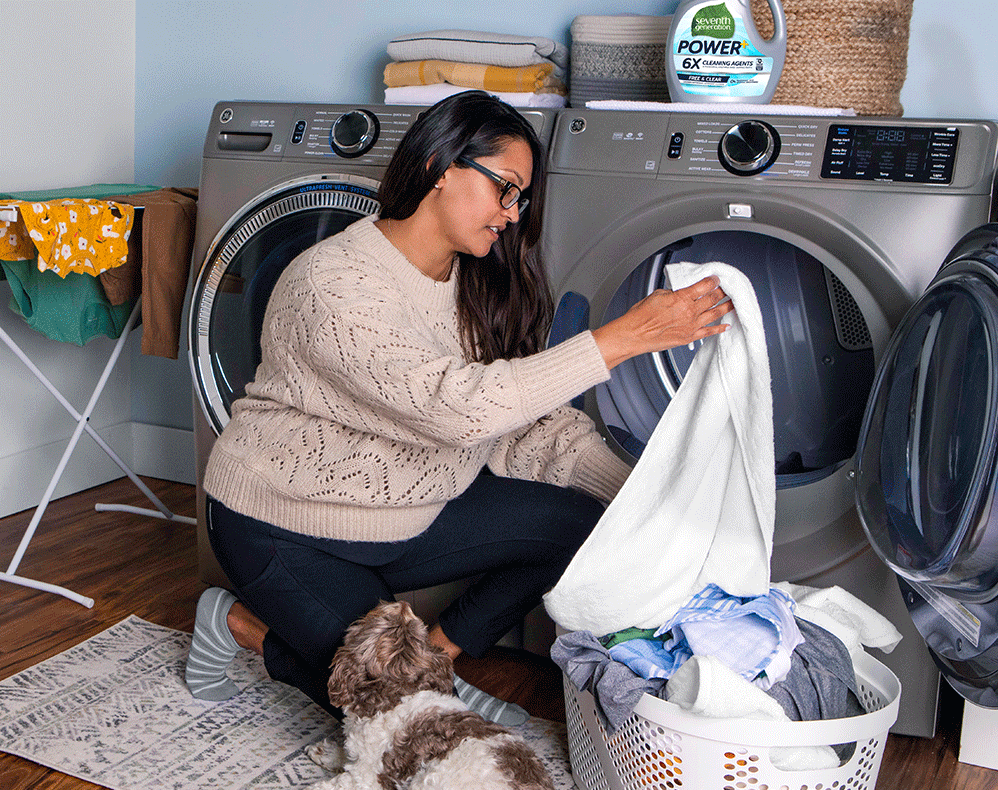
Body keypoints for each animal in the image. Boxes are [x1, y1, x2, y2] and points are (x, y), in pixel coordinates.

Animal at [306, 604, 556, 788]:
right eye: (419, 628)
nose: (403, 603)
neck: (399, 691)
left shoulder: (368, 775)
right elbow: (348, 756)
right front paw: (325, 752)